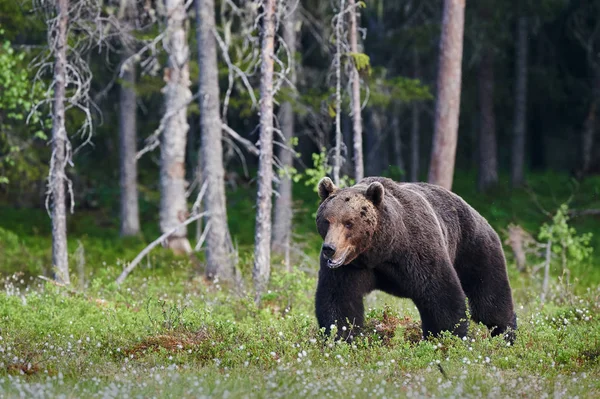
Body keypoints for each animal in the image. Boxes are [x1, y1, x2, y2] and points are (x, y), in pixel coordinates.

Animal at [314, 177, 516, 344]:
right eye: (327, 220)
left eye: (349, 222)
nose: (329, 249)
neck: (381, 250)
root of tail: (478, 213)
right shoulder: (350, 268)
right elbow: (339, 301)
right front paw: (340, 338)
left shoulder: (416, 253)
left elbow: (440, 296)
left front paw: (446, 338)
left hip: (473, 248)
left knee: (488, 299)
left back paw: (506, 335)